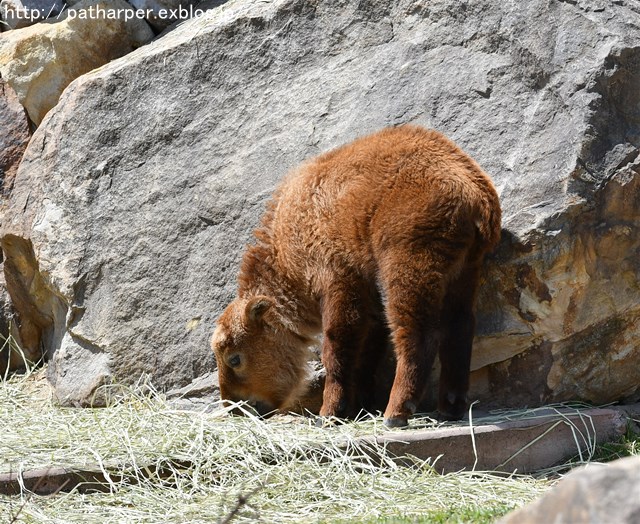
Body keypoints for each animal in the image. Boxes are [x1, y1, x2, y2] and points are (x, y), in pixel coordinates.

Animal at [210, 125, 500, 428]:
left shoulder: (337, 280)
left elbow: (337, 346)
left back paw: (396, 413)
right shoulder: (366, 291)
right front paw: (358, 405)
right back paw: (449, 408)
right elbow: (367, 349)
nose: (234, 407)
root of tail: (474, 190)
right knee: (460, 328)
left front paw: (329, 412)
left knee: (416, 335)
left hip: (407, 266)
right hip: (464, 272)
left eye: (234, 359)